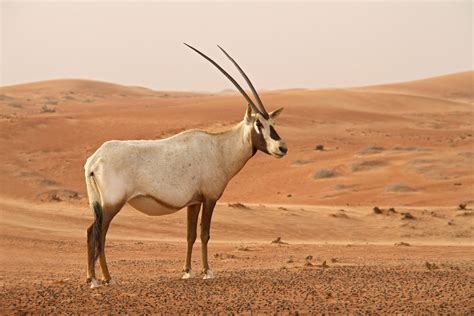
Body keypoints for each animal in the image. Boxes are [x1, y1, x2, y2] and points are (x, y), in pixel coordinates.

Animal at [83, 43, 286, 288]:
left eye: (272, 122)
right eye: (258, 123)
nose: (282, 148)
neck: (220, 147)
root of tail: (94, 160)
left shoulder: (194, 202)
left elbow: (190, 235)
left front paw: (187, 271)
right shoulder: (209, 198)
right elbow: (205, 233)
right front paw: (208, 271)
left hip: (100, 204)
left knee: (93, 231)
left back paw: (95, 277)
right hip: (112, 204)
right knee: (99, 232)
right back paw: (104, 279)